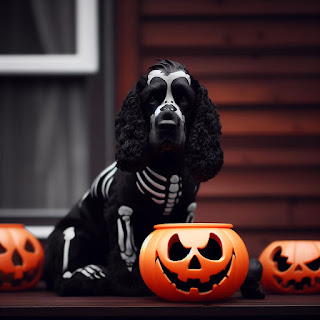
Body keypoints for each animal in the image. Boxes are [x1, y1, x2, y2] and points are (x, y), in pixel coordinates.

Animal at [43, 59, 224, 296]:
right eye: (151, 99)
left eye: (184, 99)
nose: (167, 125)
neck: (167, 167)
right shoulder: (121, 209)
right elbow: (125, 253)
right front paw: (128, 284)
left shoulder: (186, 210)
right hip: (72, 234)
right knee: (63, 278)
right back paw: (93, 277)